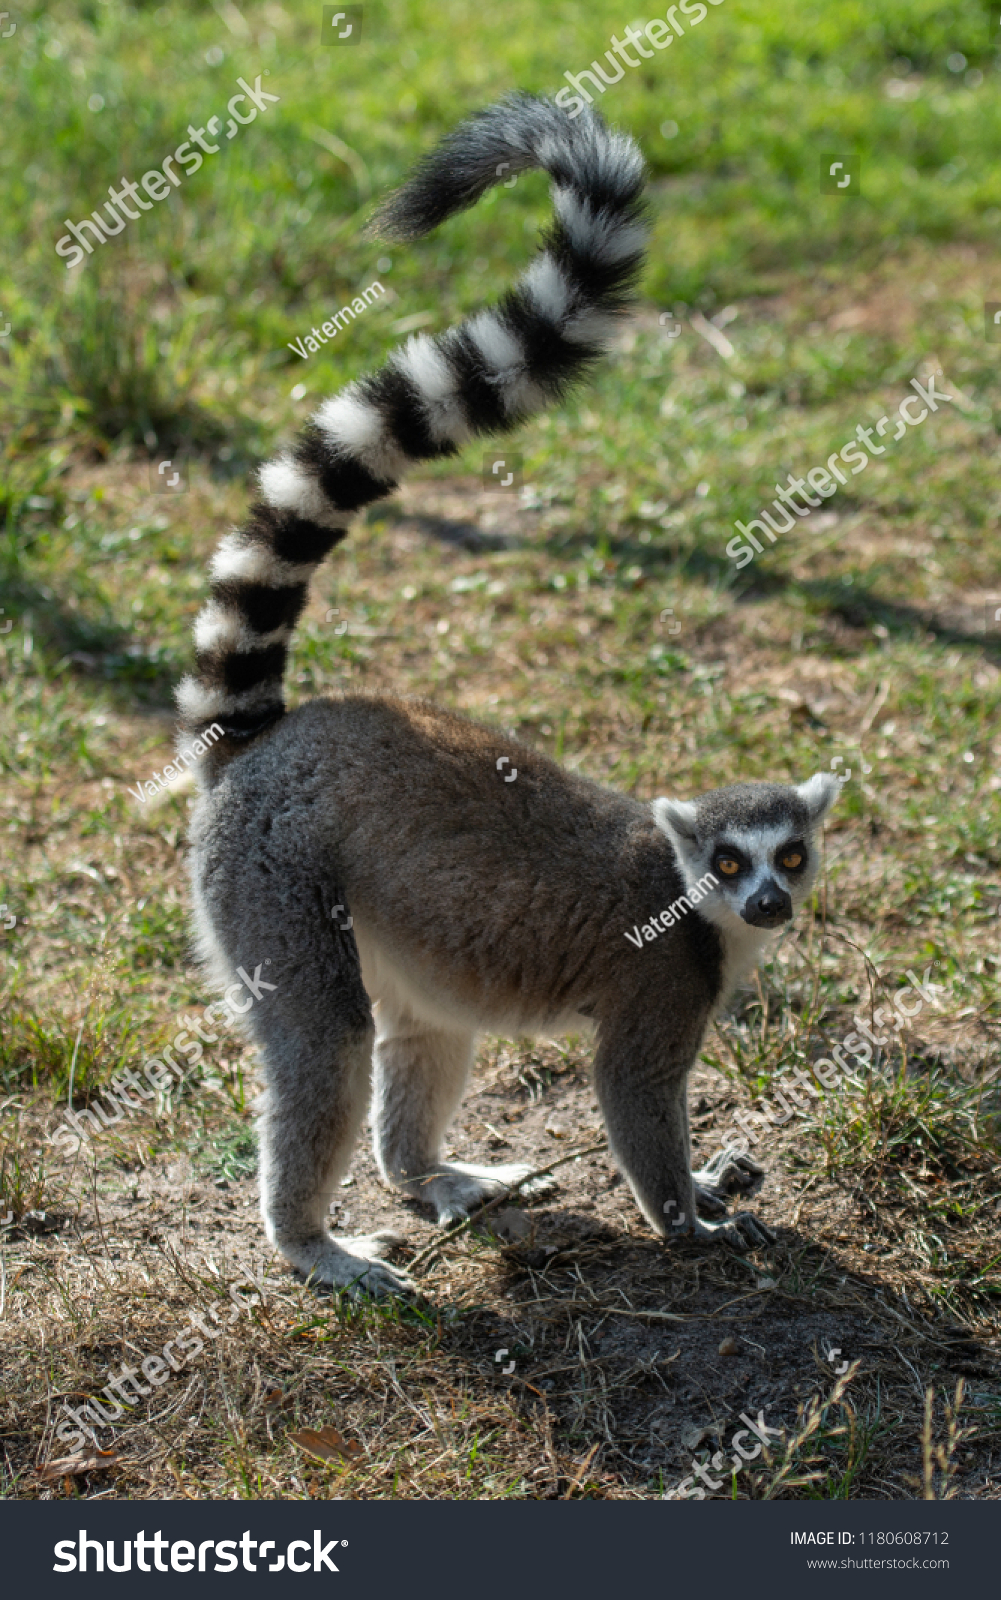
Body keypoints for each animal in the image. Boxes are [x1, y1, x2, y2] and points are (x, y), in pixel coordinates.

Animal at [176, 93, 839, 1295]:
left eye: (791, 854)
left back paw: (431, 1175)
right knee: (326, 1040)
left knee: (421, 1032)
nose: (769, 902)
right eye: (729, 863)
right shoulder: (659, 986)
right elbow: (634, 1096)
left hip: (385, 919)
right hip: (271, 881)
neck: (702, 916)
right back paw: (310, 1242)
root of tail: (263, 743)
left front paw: (714, 1193)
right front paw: (692, 1222)